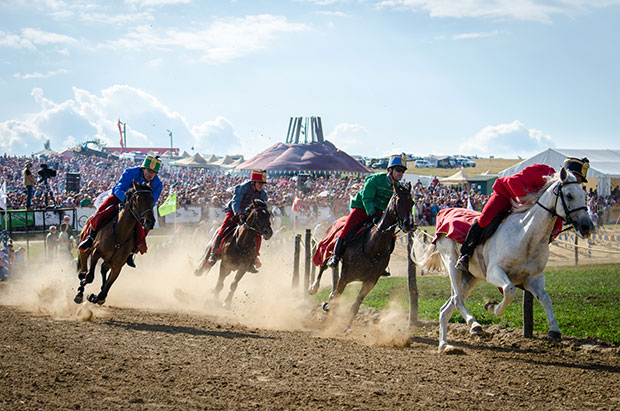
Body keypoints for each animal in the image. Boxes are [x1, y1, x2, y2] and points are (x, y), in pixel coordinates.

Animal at [308, 183, 414, 328]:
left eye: (412, 202)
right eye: (398, 202)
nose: (409, 224)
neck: (372, 247)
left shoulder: (370, 282)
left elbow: (355, 305)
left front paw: (347, 327)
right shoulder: (344, 276)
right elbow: (336, 298)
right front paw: (328, 323)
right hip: (327, 248)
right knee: (323, 266)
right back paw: (313, 287)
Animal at [416, 169, 596, 352]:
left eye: (584, 195)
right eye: (569, 195)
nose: (587, 227)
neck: (527, 236)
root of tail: (443, 214)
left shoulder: (534, 278)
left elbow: (545, 298)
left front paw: (554, 330)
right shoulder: (494, 272)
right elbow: (509, 290)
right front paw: (492, 308)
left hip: (471, 277)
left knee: (446, 308)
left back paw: (444, 344)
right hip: (452, 263)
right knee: (457, 299)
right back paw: (474, 325)